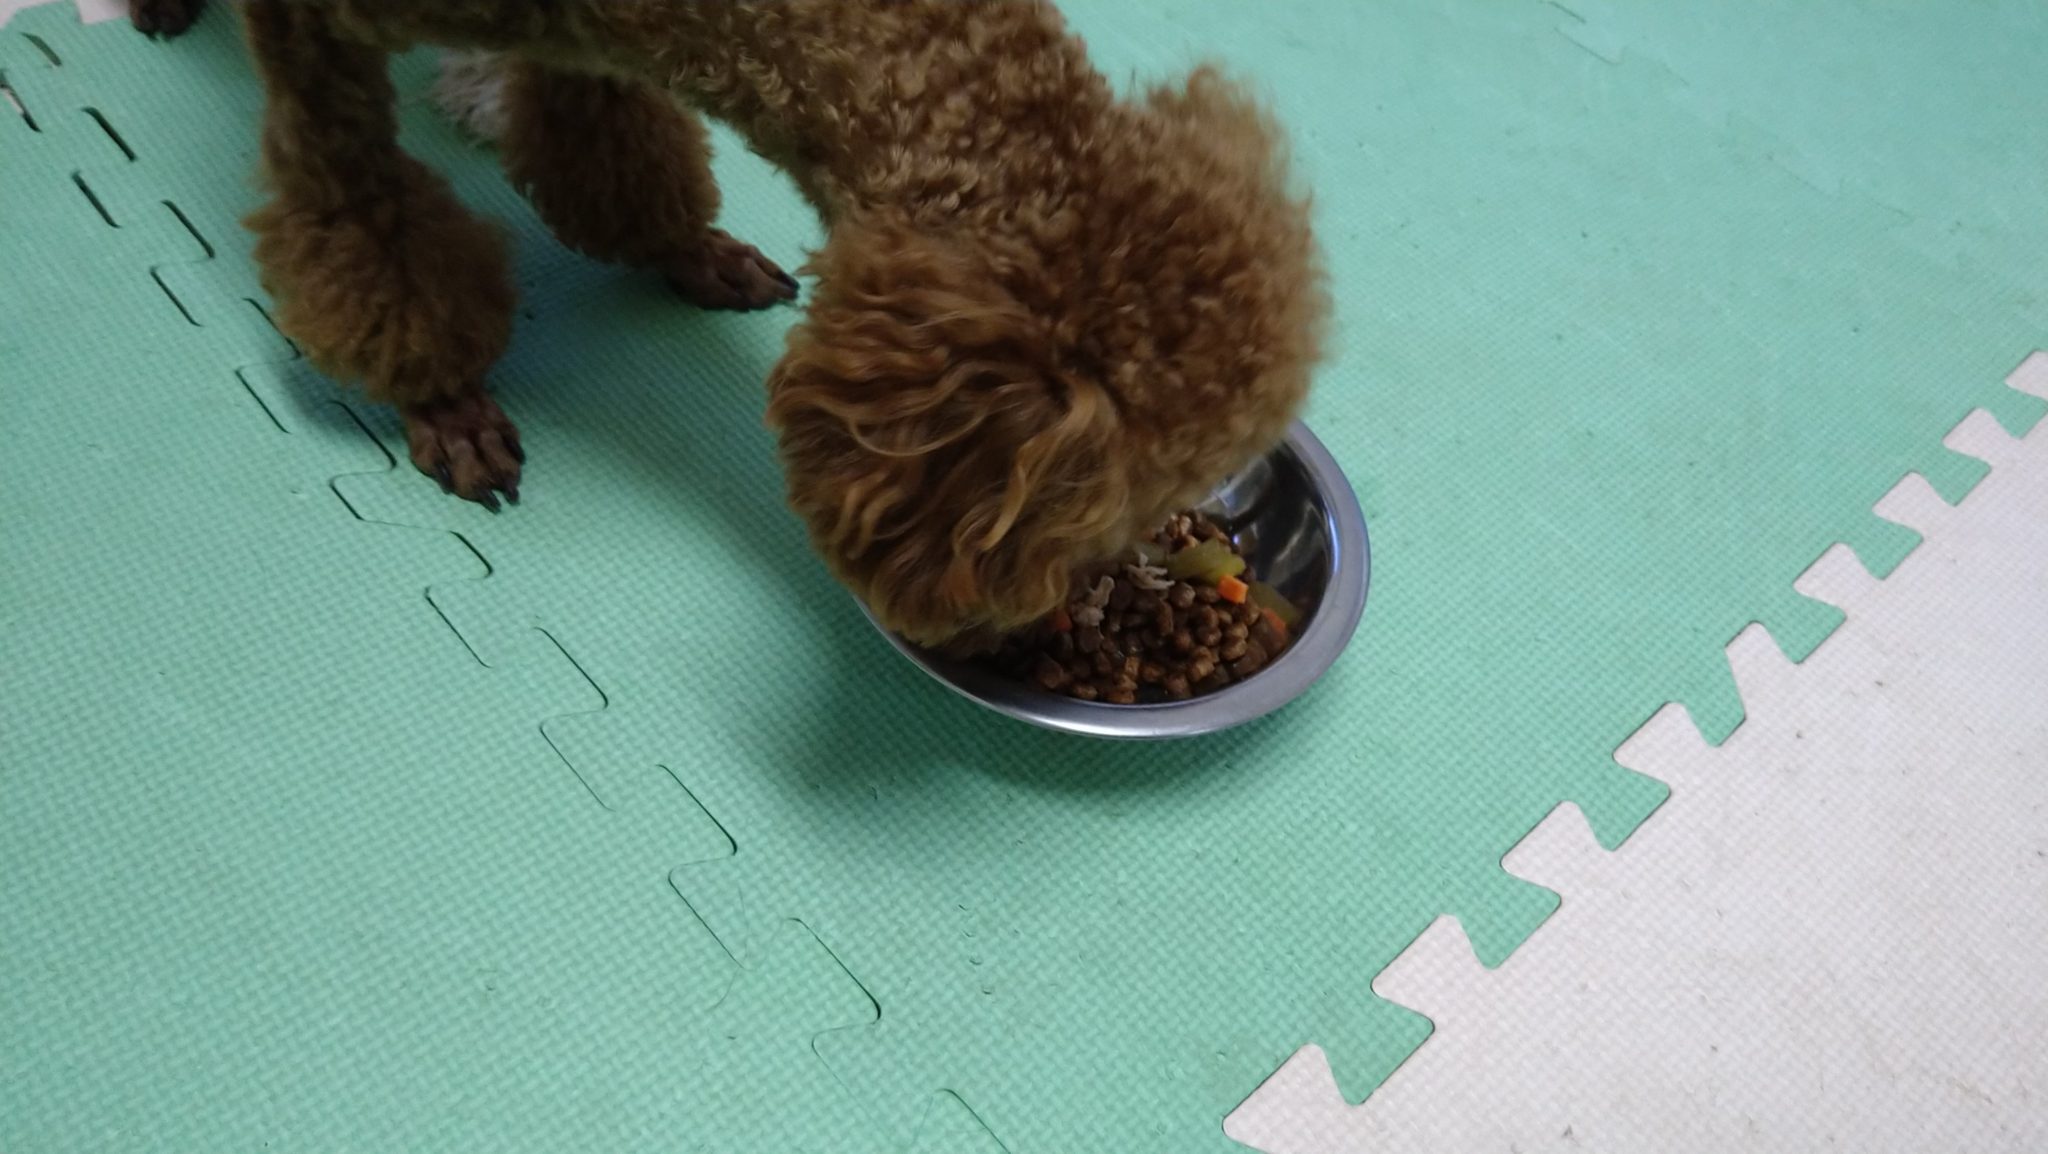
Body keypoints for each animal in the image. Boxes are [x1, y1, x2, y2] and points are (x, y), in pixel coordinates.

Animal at [141, 0, 1330, 646]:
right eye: (1111, 514)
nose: (1056, 613)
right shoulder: (314, 40)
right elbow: (358, 215)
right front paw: (439, 394)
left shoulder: (586, 36)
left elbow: (604, 142)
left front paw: (685, 250)